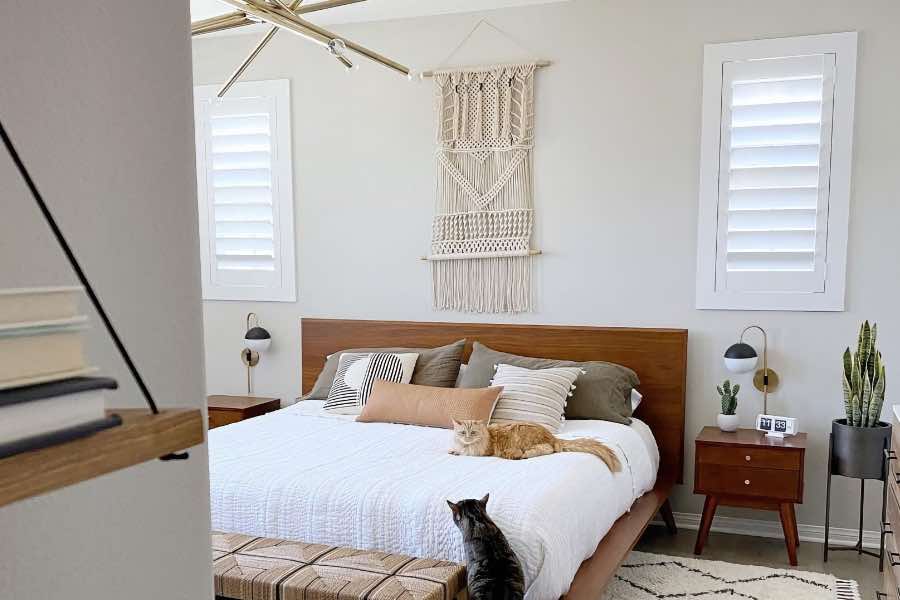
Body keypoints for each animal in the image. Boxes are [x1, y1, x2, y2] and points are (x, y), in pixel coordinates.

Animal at [448, 420, 620, 472]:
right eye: (462, 432)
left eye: (473, 432)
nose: (468, 437)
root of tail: (552, 436)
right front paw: (454, 451)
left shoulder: (483, 451)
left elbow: (467, 453)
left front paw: (459, 452)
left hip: (522, 433)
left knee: (548, 449)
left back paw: (518, 455)